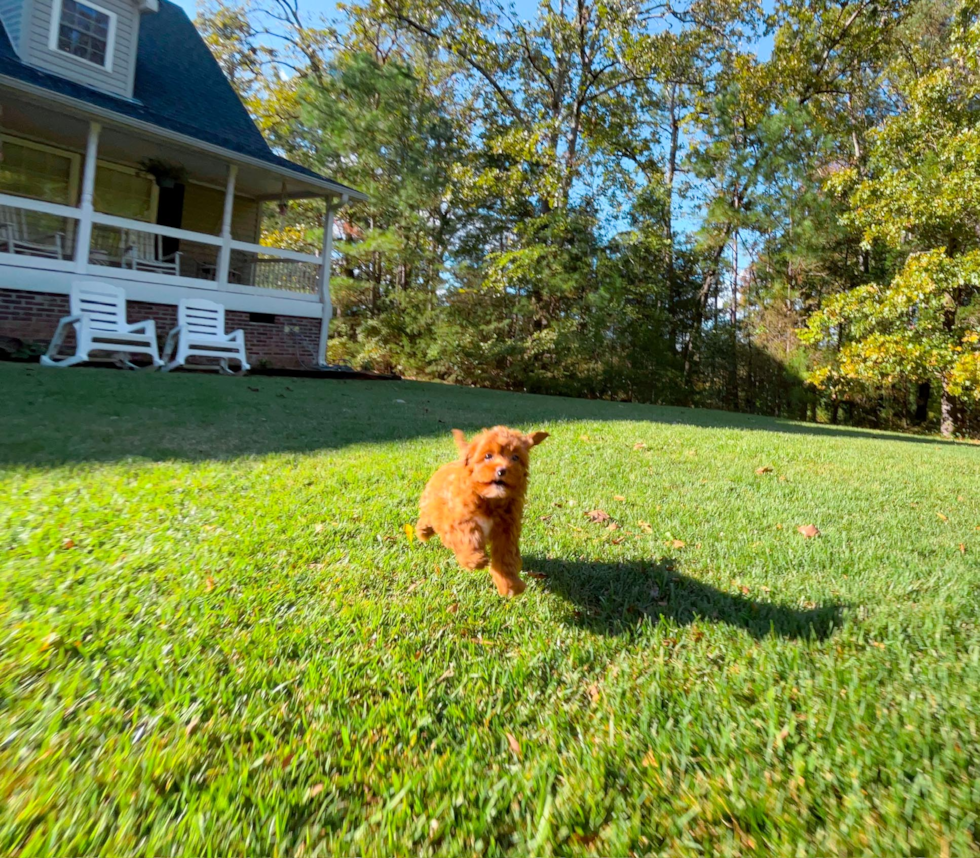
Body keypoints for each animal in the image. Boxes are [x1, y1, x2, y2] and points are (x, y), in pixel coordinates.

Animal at [416, 422, 548, 596]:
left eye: (515, 457)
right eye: (488, 456)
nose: (502, 470)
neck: (490, 500)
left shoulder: (506, 531)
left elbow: (506, 558)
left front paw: (511, 585)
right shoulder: (459, 520)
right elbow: (467, 535)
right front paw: (474, 559)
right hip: (431, 502)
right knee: (427, 517)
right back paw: (423, 531)